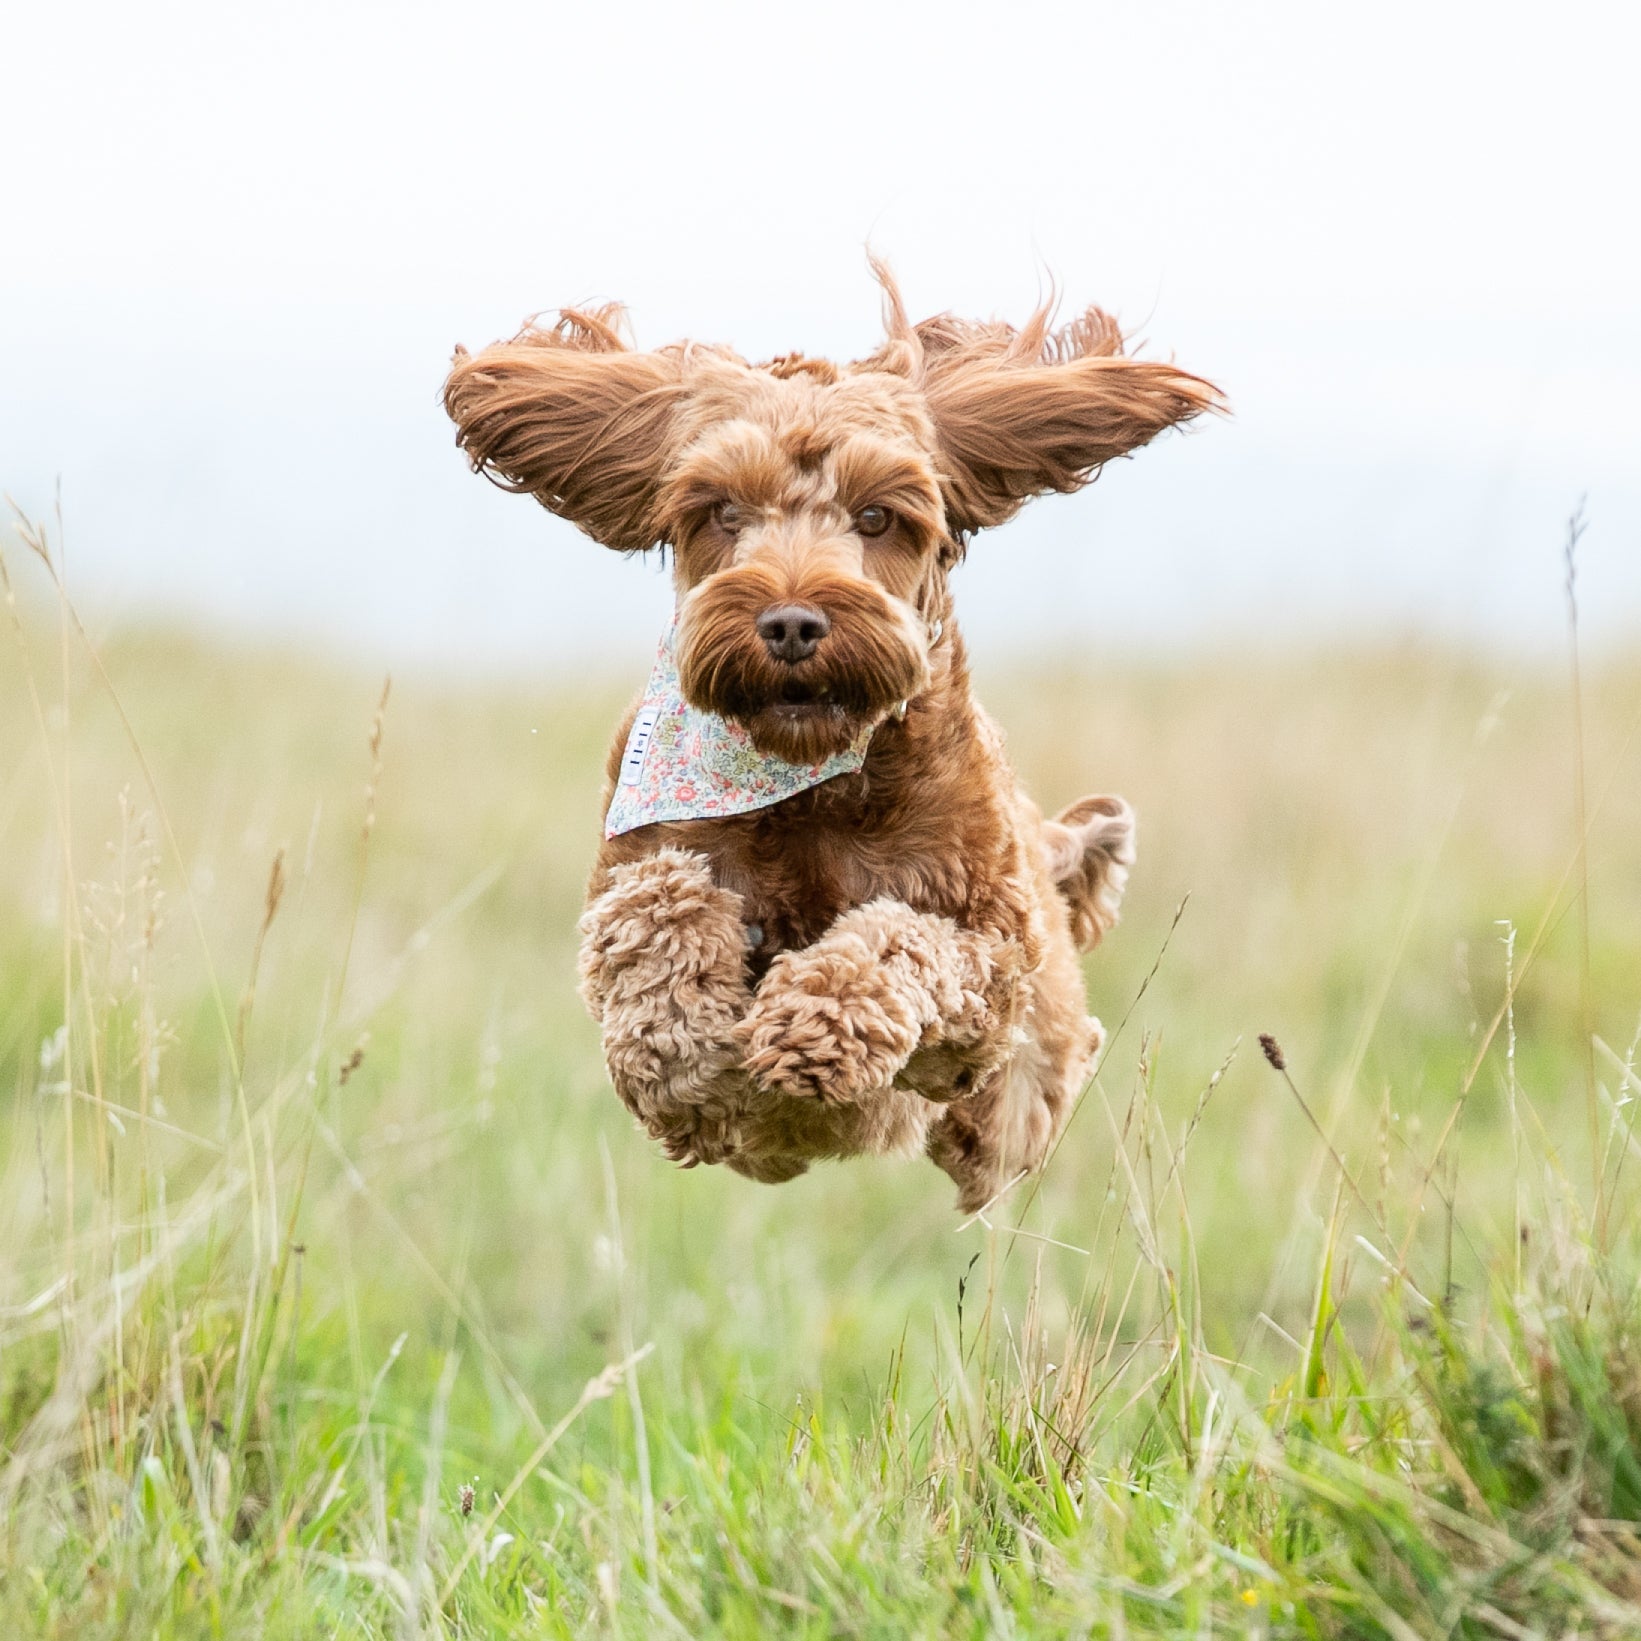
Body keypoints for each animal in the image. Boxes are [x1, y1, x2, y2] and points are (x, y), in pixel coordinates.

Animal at [449, 259, 1220, 1207]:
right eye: (719, 511)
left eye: (878, 515)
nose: (789, 622)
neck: (810, 788)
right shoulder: (636, 856)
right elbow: (653, 906)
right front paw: (682, 1041)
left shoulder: (993, 953)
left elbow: (902, 941)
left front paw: (814, 1023)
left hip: (1014, 1092)